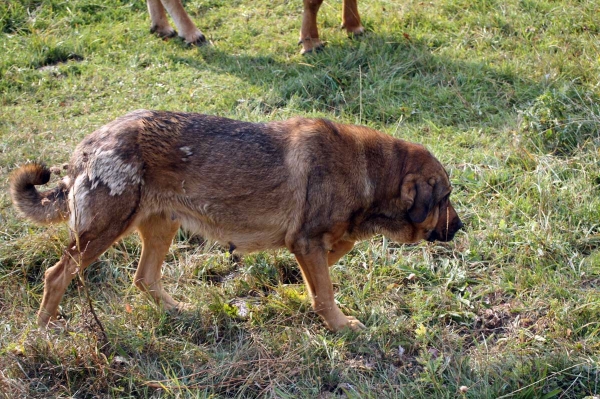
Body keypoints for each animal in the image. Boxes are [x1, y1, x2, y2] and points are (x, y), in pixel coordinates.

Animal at [10, 111, 464, 332]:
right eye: (445, 198)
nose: (460, 228)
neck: (370, 171)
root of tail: (86, 147)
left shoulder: (311, 244)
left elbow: (324, 272)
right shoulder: (307, 242)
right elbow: (325, 292)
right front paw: (339, 326)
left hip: (160, 227)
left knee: (144, 278)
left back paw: (178, 312)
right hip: (101, 234)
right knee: (56, 275)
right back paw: (44, 330)